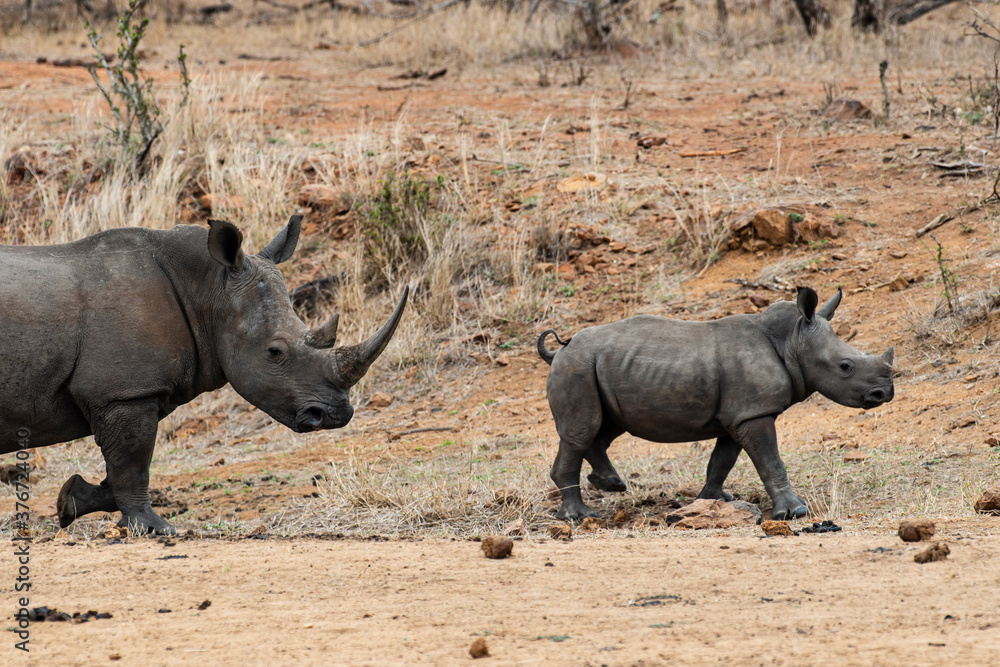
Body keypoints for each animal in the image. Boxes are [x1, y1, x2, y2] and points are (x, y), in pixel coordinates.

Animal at [0, 216, 408, 535]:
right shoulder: (125, 392)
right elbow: (133, 462)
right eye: (275, 352)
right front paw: (155, 528)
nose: (336, 415)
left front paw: (69, 500)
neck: (208, 290)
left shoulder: (122, 392)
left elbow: (118, 468)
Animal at [537, 287, 894, 521]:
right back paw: (579, 516)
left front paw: (713, 501)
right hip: (577, 368)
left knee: (603, 428)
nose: (884, 394)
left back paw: (610, 484)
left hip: (599, 368)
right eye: (845, 366)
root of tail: (560, 350)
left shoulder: (740, 414)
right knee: (583, 431)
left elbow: (722, 461)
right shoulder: (753, 413)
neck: (792, 341)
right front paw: (795, 511)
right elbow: (770, 461)